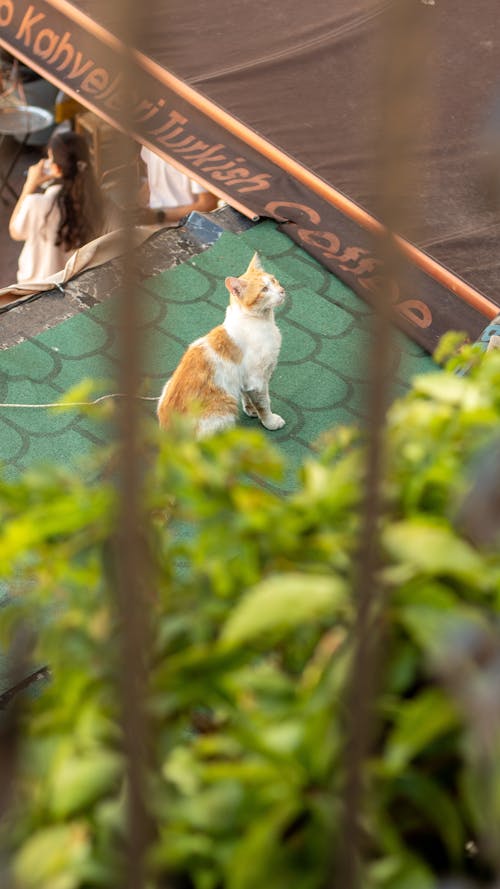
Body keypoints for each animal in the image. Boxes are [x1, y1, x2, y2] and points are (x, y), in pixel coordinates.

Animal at [158, 253, 288, 438]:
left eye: (274, 280)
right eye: (264, 289)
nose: (282, 290)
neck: (261, 321)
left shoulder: (246, 379)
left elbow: (247, 395)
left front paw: (251, 410)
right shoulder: (257, 379)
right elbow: (264, 403)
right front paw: (270, 421)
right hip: (224, 409)